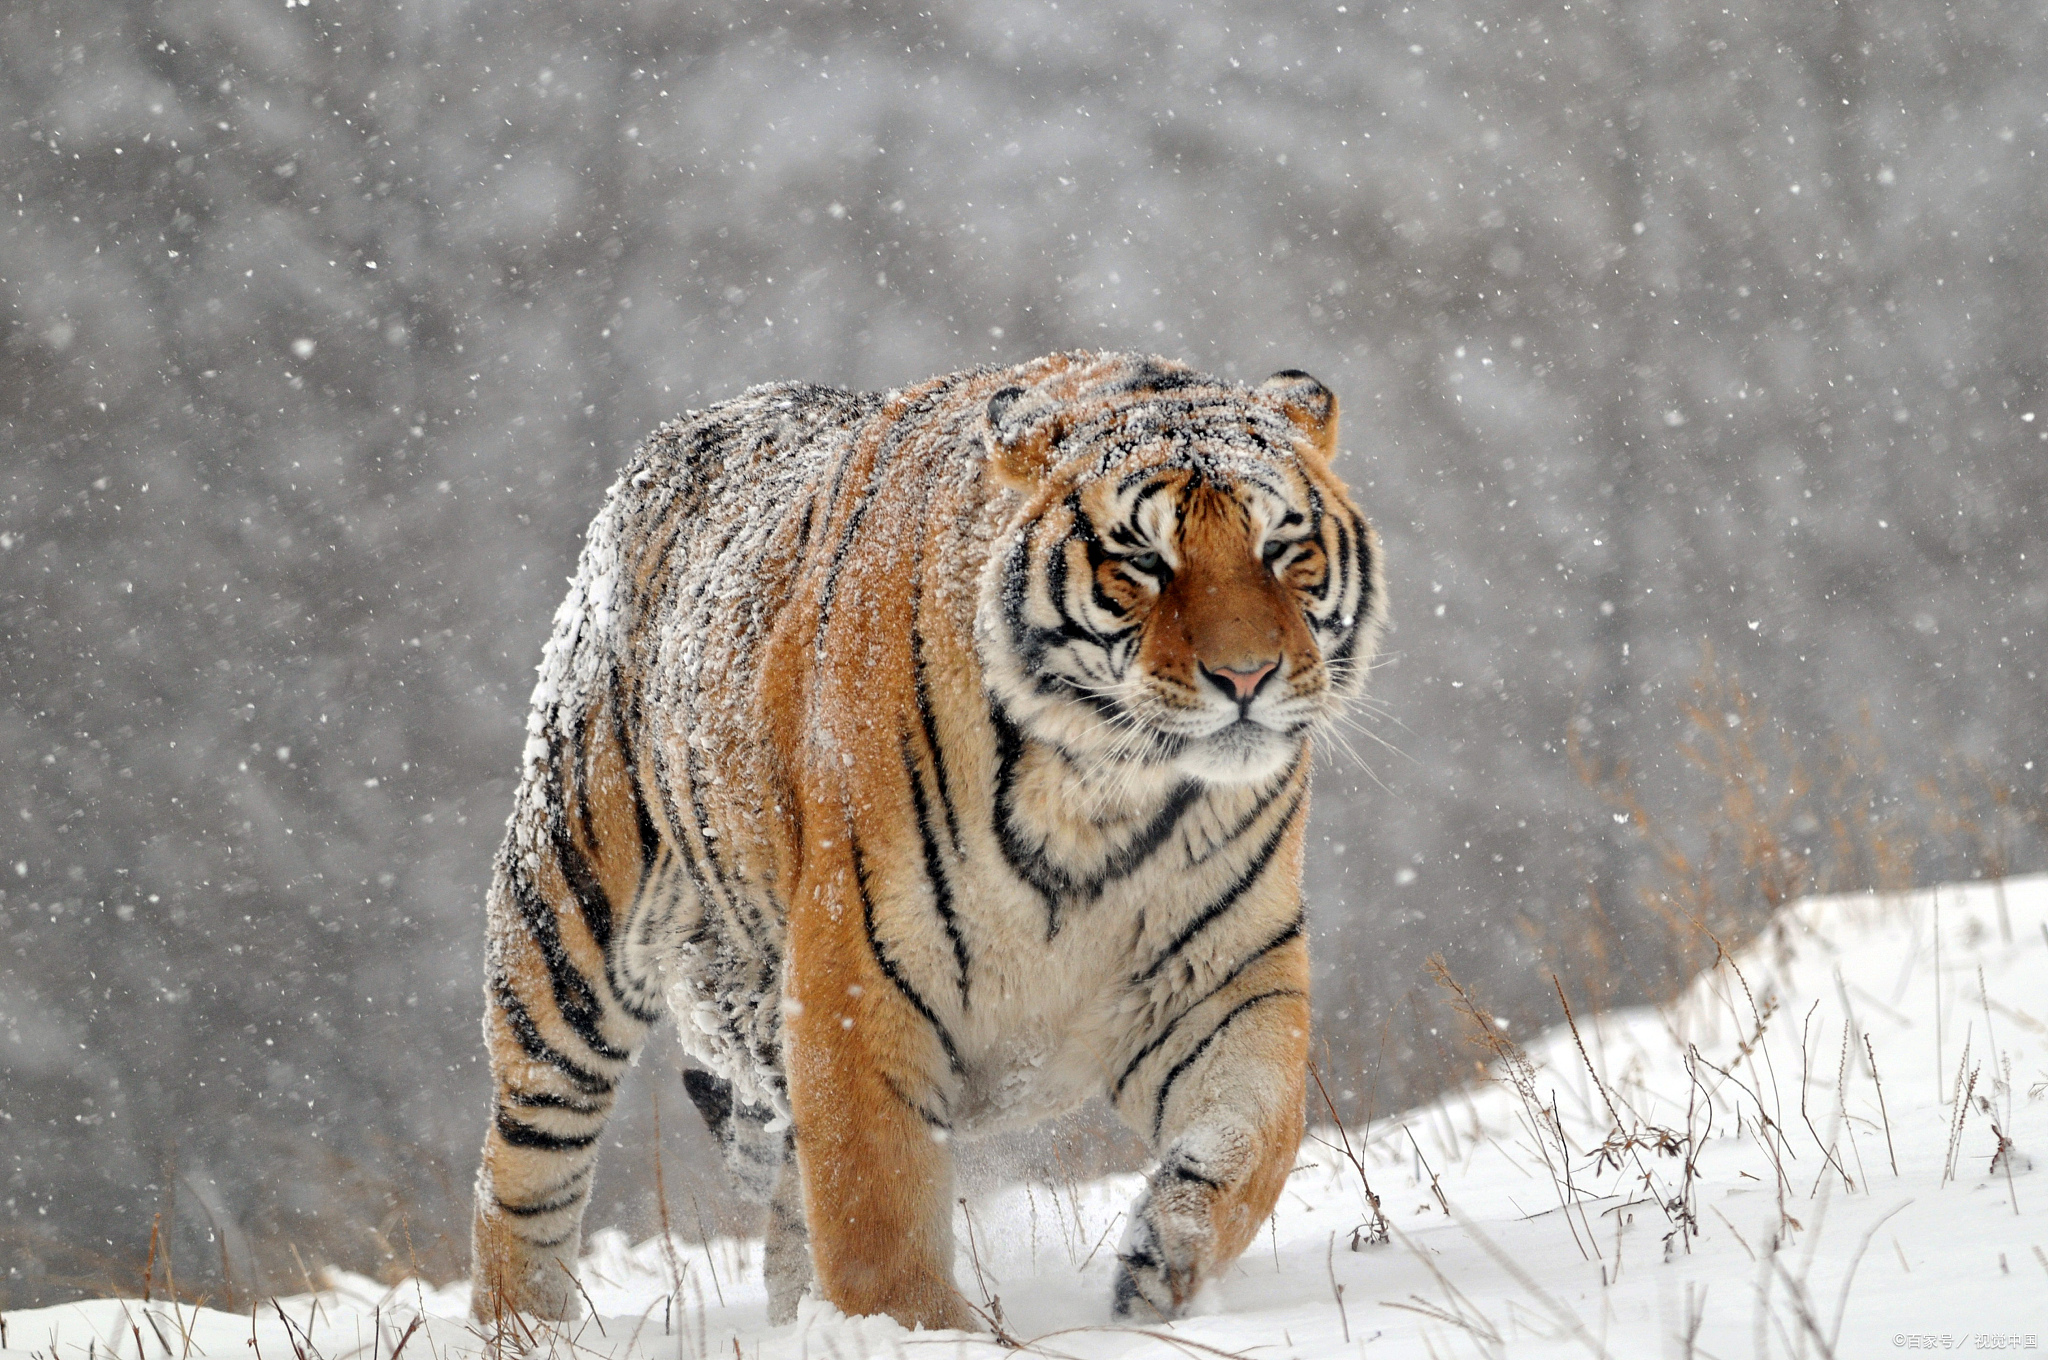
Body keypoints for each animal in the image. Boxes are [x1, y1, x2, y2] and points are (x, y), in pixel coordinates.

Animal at [471, 348, 1384, 1327]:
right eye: (1142, 559)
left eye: (1282, 548)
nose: (1247, 676)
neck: (1105, 793)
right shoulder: (856, 982)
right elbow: (875, 1215)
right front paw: (922, 1334)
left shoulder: (1225, 977)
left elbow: (1256, 1134)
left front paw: (1163, 1261)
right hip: (564, 936)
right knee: (522, 1170)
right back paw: (525, 1328)